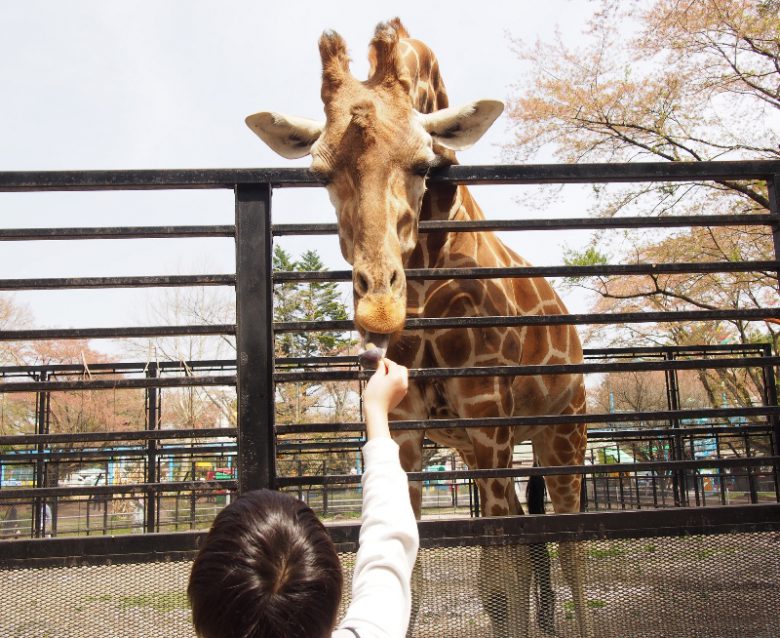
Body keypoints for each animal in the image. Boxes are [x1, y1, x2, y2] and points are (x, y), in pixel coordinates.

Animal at [247, 17, 596, 636]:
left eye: (423, 164)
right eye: (320, 172)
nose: (380, 308)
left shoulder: (487, 413)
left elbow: (500, 572)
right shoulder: (411, 426)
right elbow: (418, 561)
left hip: (563, 433)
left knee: (569, 546)